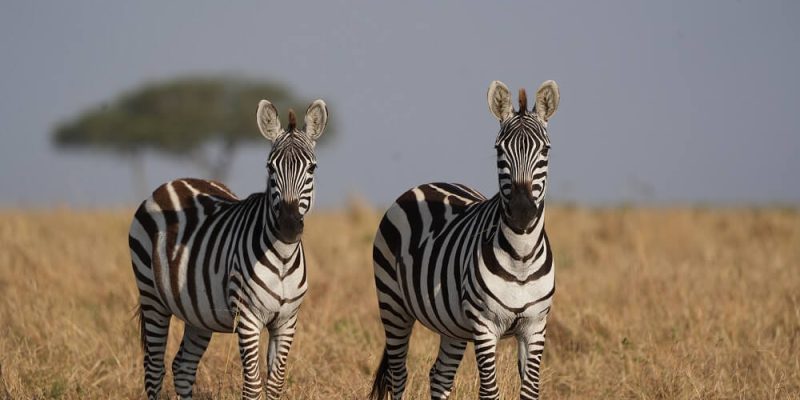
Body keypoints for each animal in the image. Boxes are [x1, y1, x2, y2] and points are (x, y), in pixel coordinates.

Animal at [128, 98, 328, 400]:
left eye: (312, 168)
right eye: (270, 168)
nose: (289, 226)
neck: (283, 258)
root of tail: (172, 182)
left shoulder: (287, 321)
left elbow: (275, 385)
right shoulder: (247, 318)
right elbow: (253, 386)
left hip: (197, 312)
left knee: (183, 366)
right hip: (152, 296)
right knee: (154, 368)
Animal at [369, 80, 560, 400]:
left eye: (545, 150)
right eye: (499, 150)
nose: (522, 212)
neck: (521, 257)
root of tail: (428, 184)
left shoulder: (535, 326)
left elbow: (531, 391)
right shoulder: (484, 326)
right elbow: (490, 392)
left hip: (452, 324)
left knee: (440, 375)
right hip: (392, 303)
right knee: (399, 374)